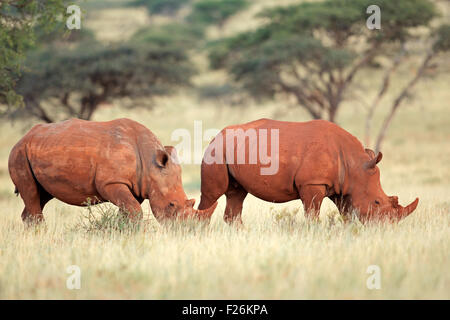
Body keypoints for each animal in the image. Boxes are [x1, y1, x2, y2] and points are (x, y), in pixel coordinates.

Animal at [8, 118, 216, 225]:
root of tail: (23, 137)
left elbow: (128, 210)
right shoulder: (111, 182)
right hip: (19, 153)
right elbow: (134, 210)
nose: (185, 230)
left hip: (37, 149)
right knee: (31, 193)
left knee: (40, 195)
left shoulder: (137, 186)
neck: (150, 164)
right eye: (171, 205)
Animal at [197, 119, 418, 224]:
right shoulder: (313, 183)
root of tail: (216, 136)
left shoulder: (341, 187)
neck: (355, 165)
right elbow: (312, 214)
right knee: (212, 195)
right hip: (216, 151)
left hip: (233, 149)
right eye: (377, 202)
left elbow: (346, 213)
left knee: (237, 194)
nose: (386, 228)